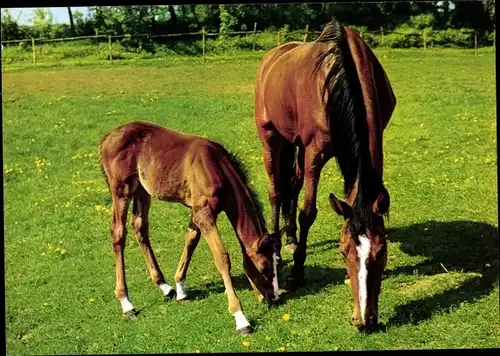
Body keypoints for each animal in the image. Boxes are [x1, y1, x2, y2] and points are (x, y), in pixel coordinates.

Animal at [98, 121, 286, 336]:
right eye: (264, 267)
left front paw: (180, 287)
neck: (215, 166)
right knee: (118, 233)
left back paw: (165, 287)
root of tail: (109, 137)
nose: (274, 297)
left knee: (140, 228)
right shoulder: (204, 213)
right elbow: (222, 258)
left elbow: (191, 240)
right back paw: (127, 303)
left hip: (142, 190)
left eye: (277, 262)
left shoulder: (198, 211)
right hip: (121, 190)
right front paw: (241, 319)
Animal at [256, 18, 396, 330]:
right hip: (271, 137)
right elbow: (308, 212)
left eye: (381, 251)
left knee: (292, 182)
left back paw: (291, 239)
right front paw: (297, 272)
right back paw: (277, 248)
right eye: (343, 251)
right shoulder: (314, 153)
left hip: (293, 142)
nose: (364, 319)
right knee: (276, 190)